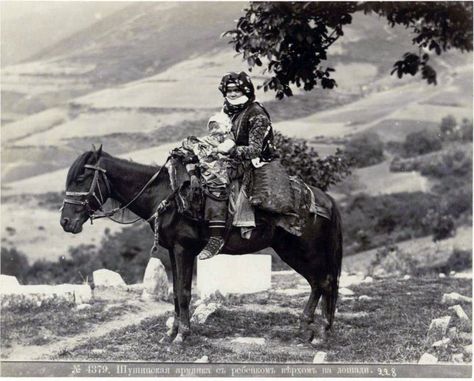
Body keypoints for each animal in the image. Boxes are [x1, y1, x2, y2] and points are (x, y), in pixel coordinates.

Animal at [61, 146, 342, 344]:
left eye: (82, 178)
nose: (65, 222)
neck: (166, 196)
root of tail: (324, 198)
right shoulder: (172, 252)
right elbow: (176, 292)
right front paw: (171, 333)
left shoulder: (183, 250)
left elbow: (185, 293)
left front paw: (182, 335)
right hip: (292, 252)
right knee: (317, 283)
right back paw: (306, 327)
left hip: (305, 250)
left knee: (325, 282)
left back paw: (322, 334)